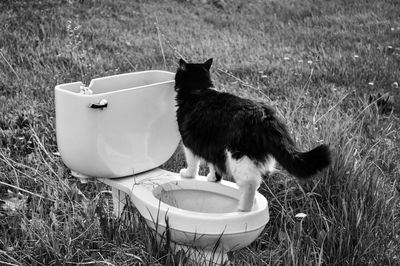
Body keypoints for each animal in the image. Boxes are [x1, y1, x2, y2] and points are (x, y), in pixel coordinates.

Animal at [175, 58, 332, 212]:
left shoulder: (189, 141)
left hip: (239, 156)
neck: (199, 90)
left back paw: (243, 209)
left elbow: (192, 162)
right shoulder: (210, 144)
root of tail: (264, 116)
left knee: (250, 184)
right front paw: (213, 178)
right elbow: (213, 164)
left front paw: (188, 175)